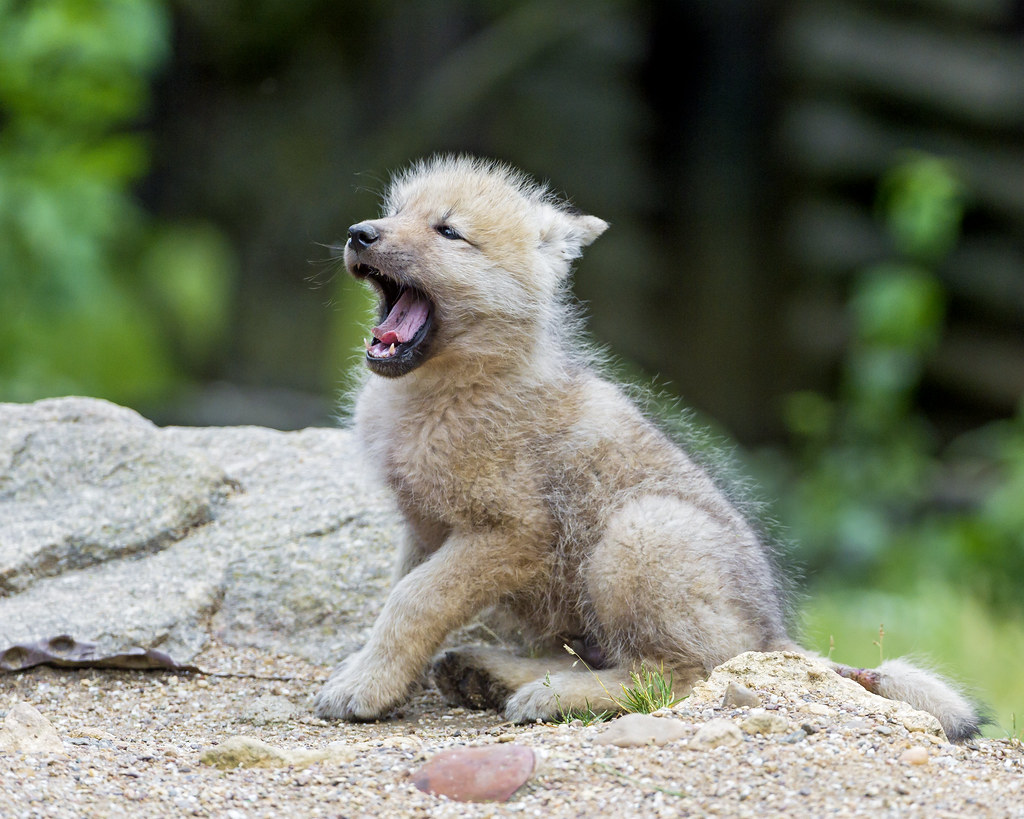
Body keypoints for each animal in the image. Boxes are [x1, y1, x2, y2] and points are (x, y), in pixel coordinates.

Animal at [312, 155, 981, 741]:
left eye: (448, 231)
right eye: (395, 211)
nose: (358, 234)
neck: (442, 393)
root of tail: (771, 637)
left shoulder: (509, 532)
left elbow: (413, 601)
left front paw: (363, 688)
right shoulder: (422, 527)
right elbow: (400, 599)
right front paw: (372, 673)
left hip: (639, 533)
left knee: (674, 676)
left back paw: (549, 696)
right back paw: (491, 674)